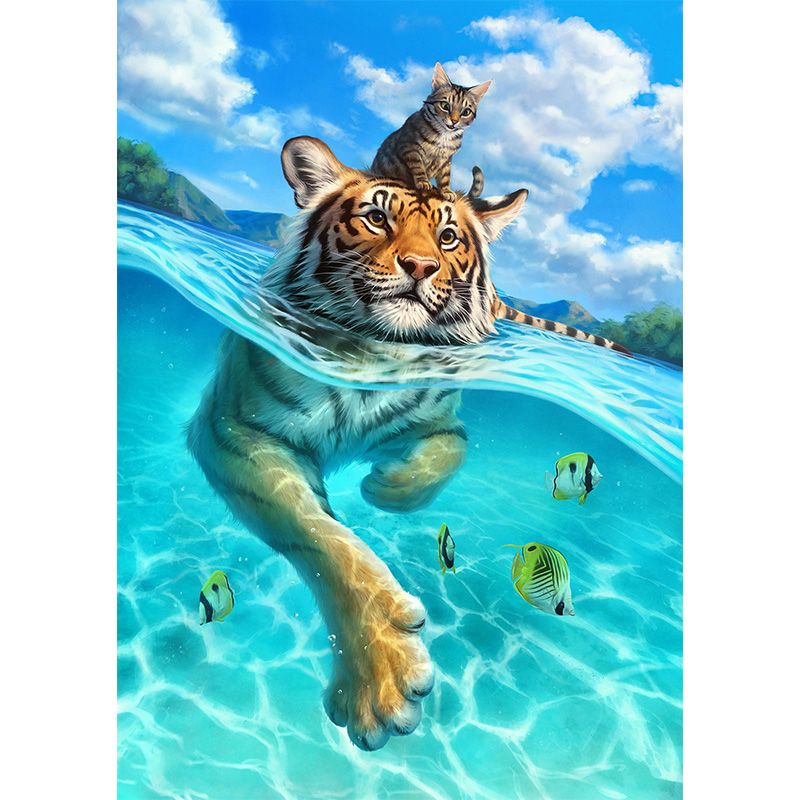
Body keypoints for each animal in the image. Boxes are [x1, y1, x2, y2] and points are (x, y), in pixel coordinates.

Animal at [186, 136, 628, 752]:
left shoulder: (441, 421)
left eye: (448, 237)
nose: (420, 266)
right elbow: (321, 538)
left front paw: (386, 487)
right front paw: (382, 677)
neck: (371, 356)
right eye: (377, 219)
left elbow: (445, 459)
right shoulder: (233, 430)